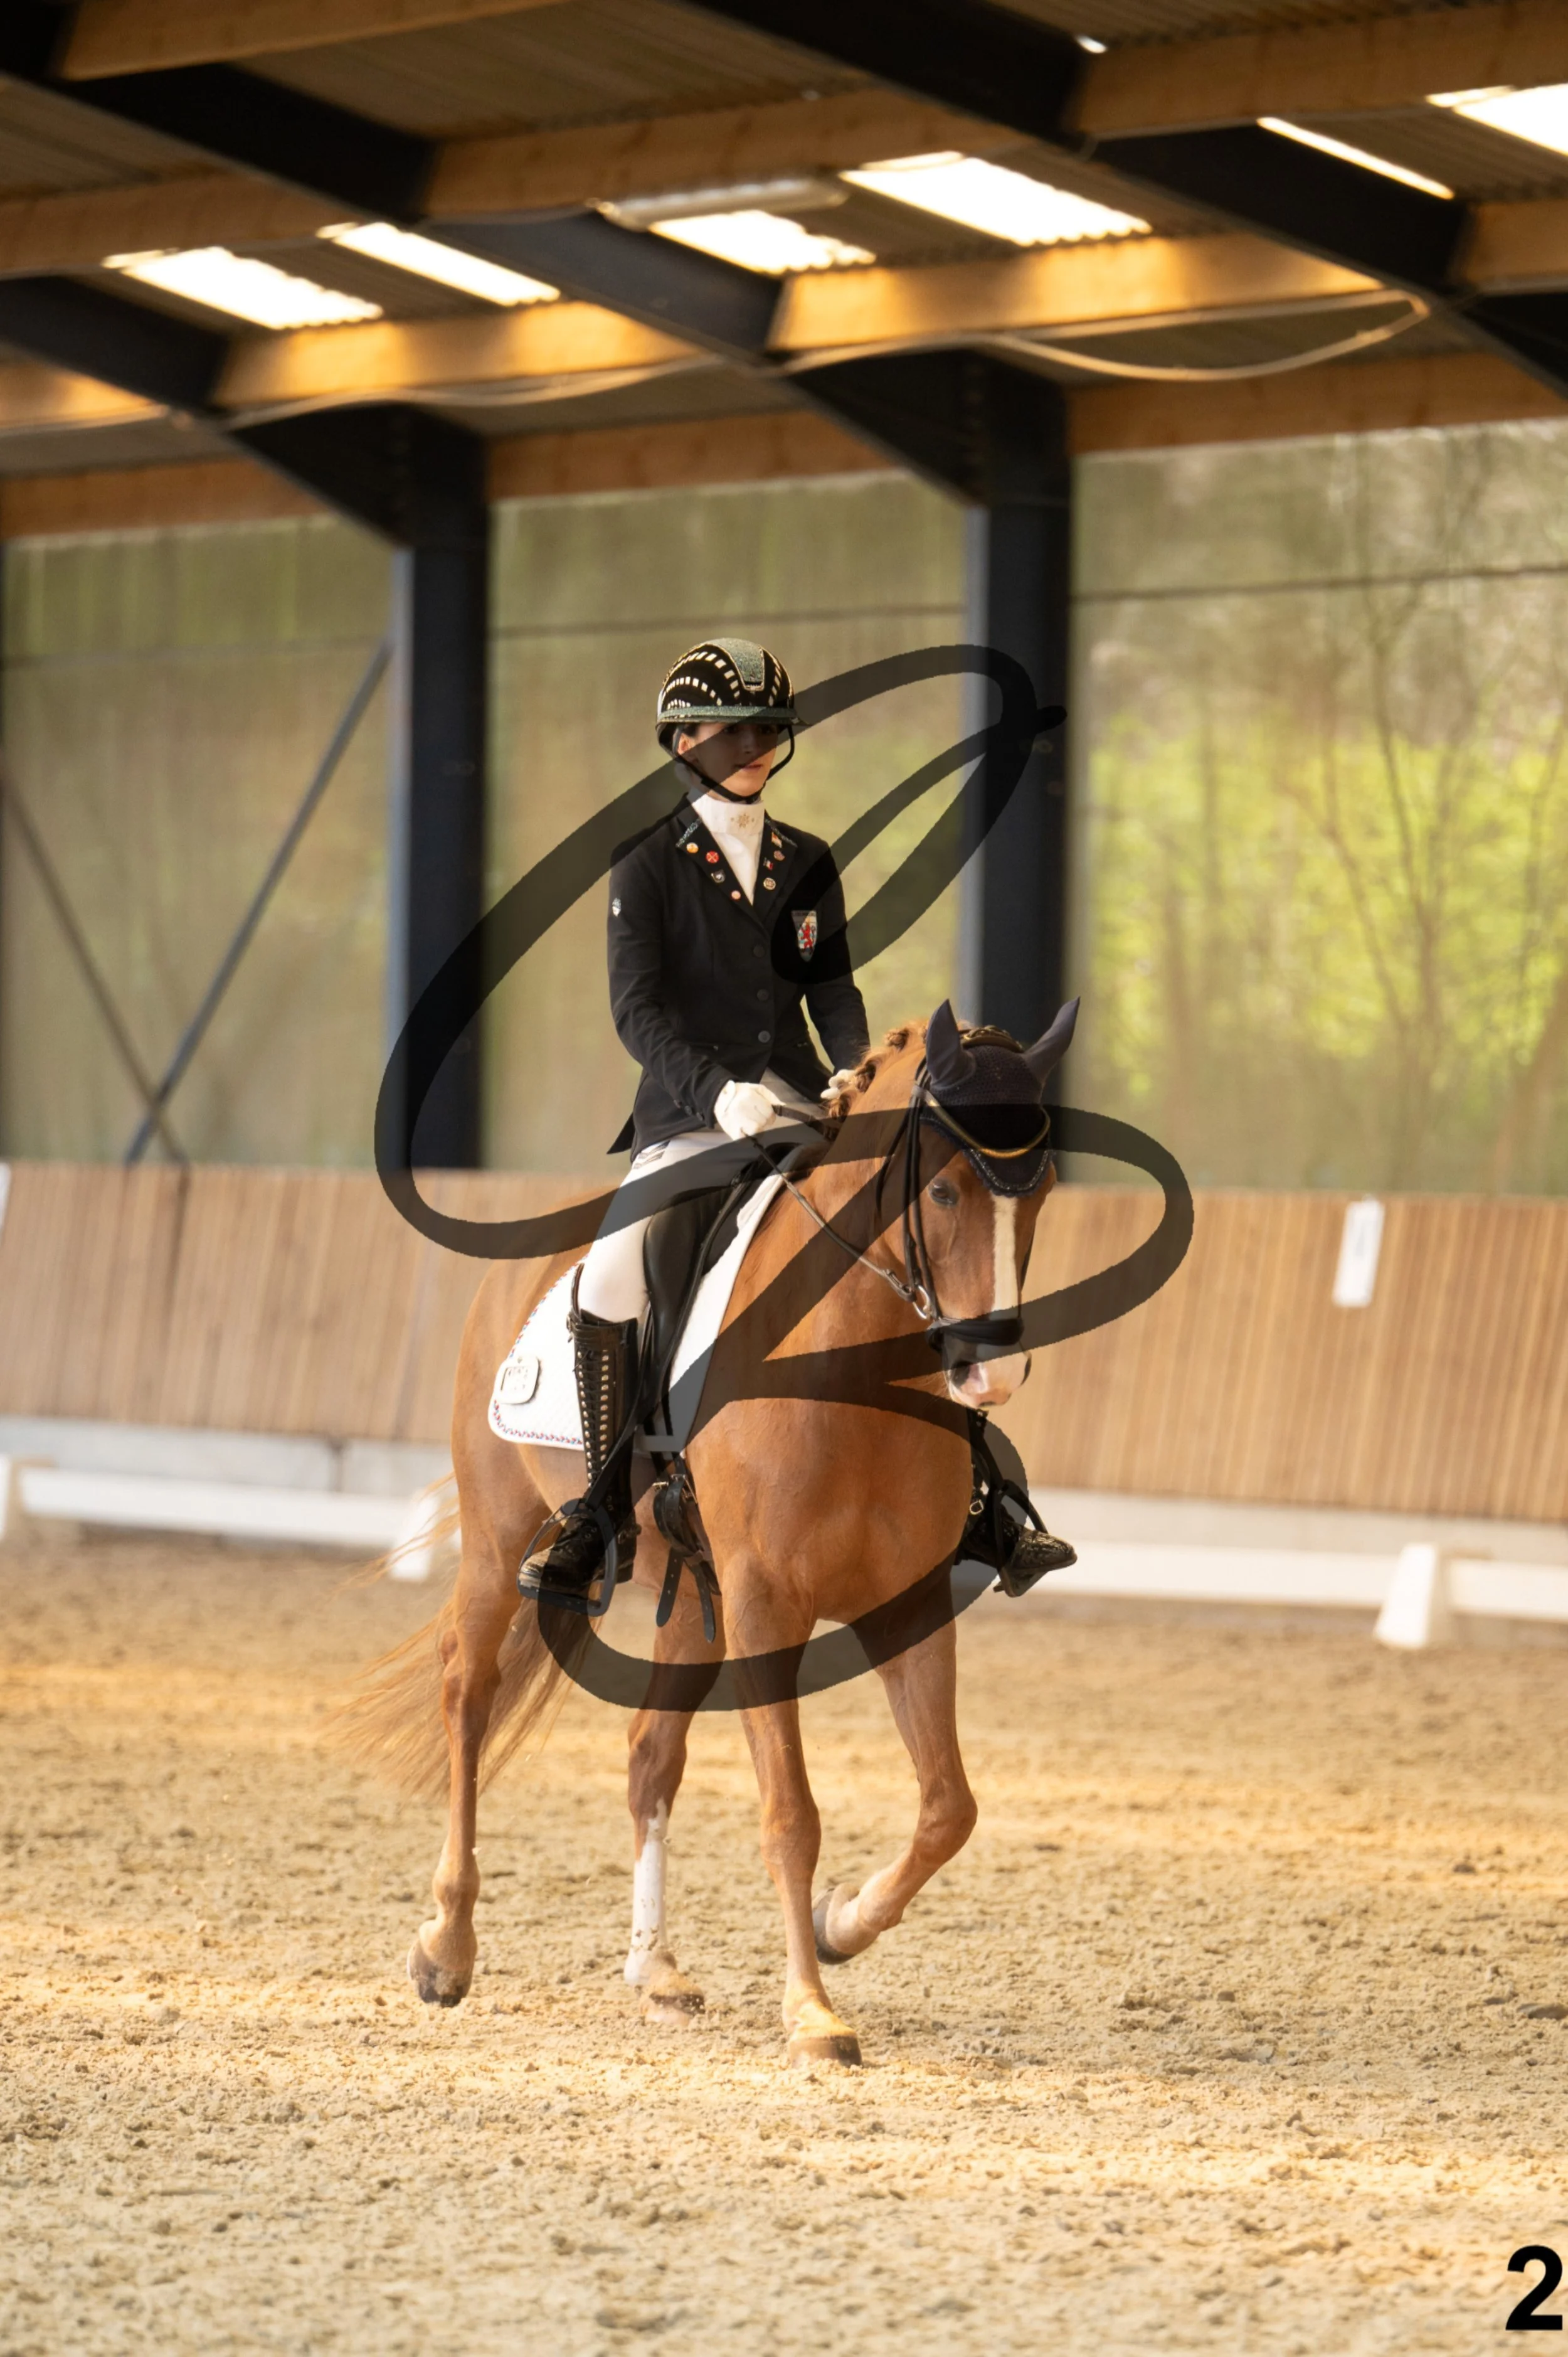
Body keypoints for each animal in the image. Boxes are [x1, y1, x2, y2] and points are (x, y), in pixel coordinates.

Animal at [340, 1002, 1072, 2068]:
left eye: (1044, 1188)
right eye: (942, 1188)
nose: (993, 1375)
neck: (843, 1369)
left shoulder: (907, 1601)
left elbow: (949, 1806)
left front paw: (840, 1924)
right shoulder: (769, 1606)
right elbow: (791, 1813)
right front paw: (812, 2011)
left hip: (692, 1593)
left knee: (650, 1755)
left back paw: (656, 1969)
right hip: (498, 1541)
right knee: (466, 1696)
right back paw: (447, 1944)